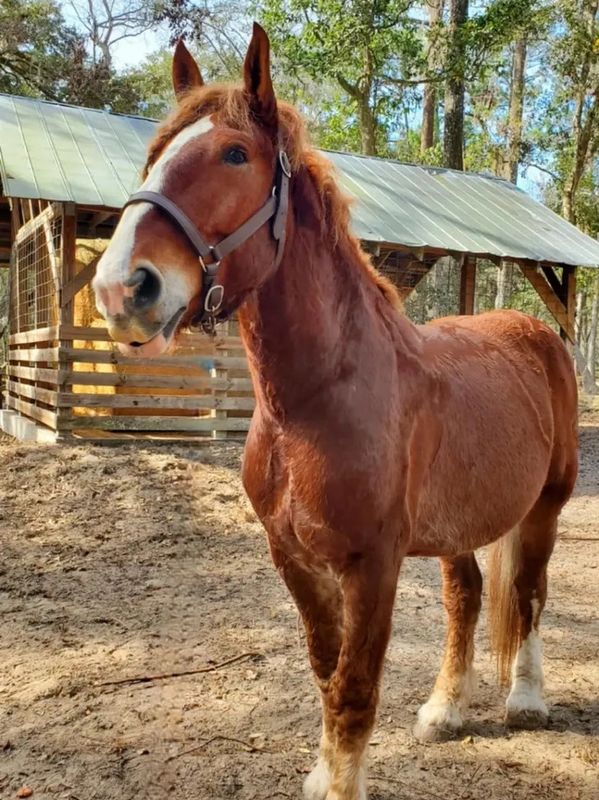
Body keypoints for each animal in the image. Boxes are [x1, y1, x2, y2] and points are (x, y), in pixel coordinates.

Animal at [92, 24, 579, 800]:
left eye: (236, 154)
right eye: (154, 154)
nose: (121, 288)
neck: (315, 406)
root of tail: (534, 332)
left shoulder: (372, 564)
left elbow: (354, 687)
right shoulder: (293, 558)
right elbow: (326, 672)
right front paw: (326, 772)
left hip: (544, 508)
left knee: (528, 592)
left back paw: (526, 700)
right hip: (459, 521)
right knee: (468, 595)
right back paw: (445, 708)